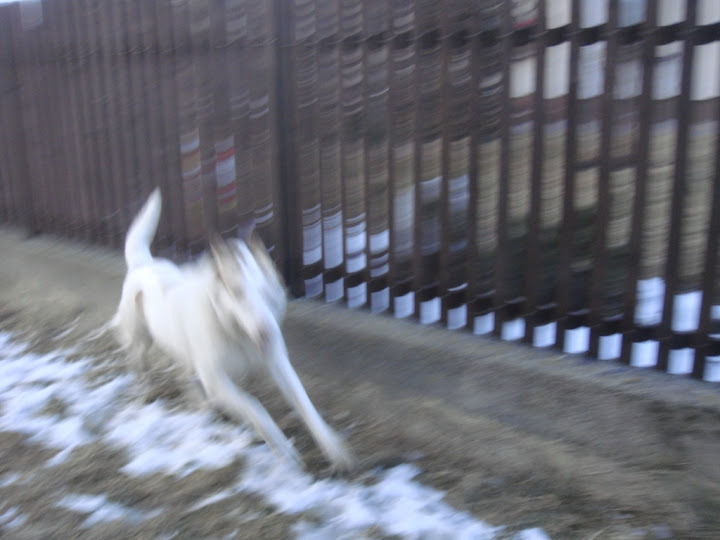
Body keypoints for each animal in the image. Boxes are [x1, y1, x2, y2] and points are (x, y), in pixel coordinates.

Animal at [104, 188, 355, 471]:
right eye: (237, 293)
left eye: (266, 291)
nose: (267, 334)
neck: (235, 332)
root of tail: (143, 264)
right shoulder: (217, 380)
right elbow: (255, 407)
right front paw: (284, 450)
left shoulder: (278, 364)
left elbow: (305, 404)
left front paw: (333, 447)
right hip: (141, 338)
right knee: (138, 361)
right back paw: (143, 389)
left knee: (184, 374)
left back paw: (201, 403)